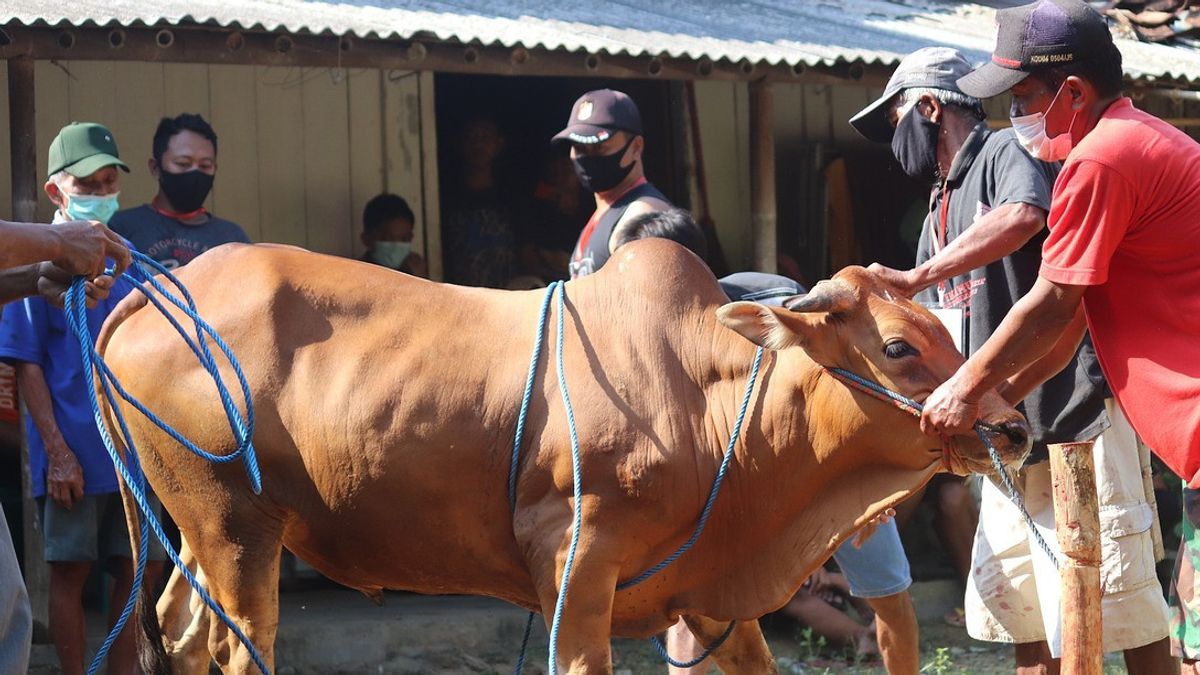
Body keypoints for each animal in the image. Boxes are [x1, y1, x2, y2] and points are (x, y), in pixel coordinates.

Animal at [98, 240, 1027, 672]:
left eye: (946, 327)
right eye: (900, 347)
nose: (1014, 427)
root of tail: (157, 285)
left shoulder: (708, 598)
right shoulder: (576, 561)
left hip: (205, 530)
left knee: (181, 633)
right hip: (236, 526)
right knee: (235, 646)